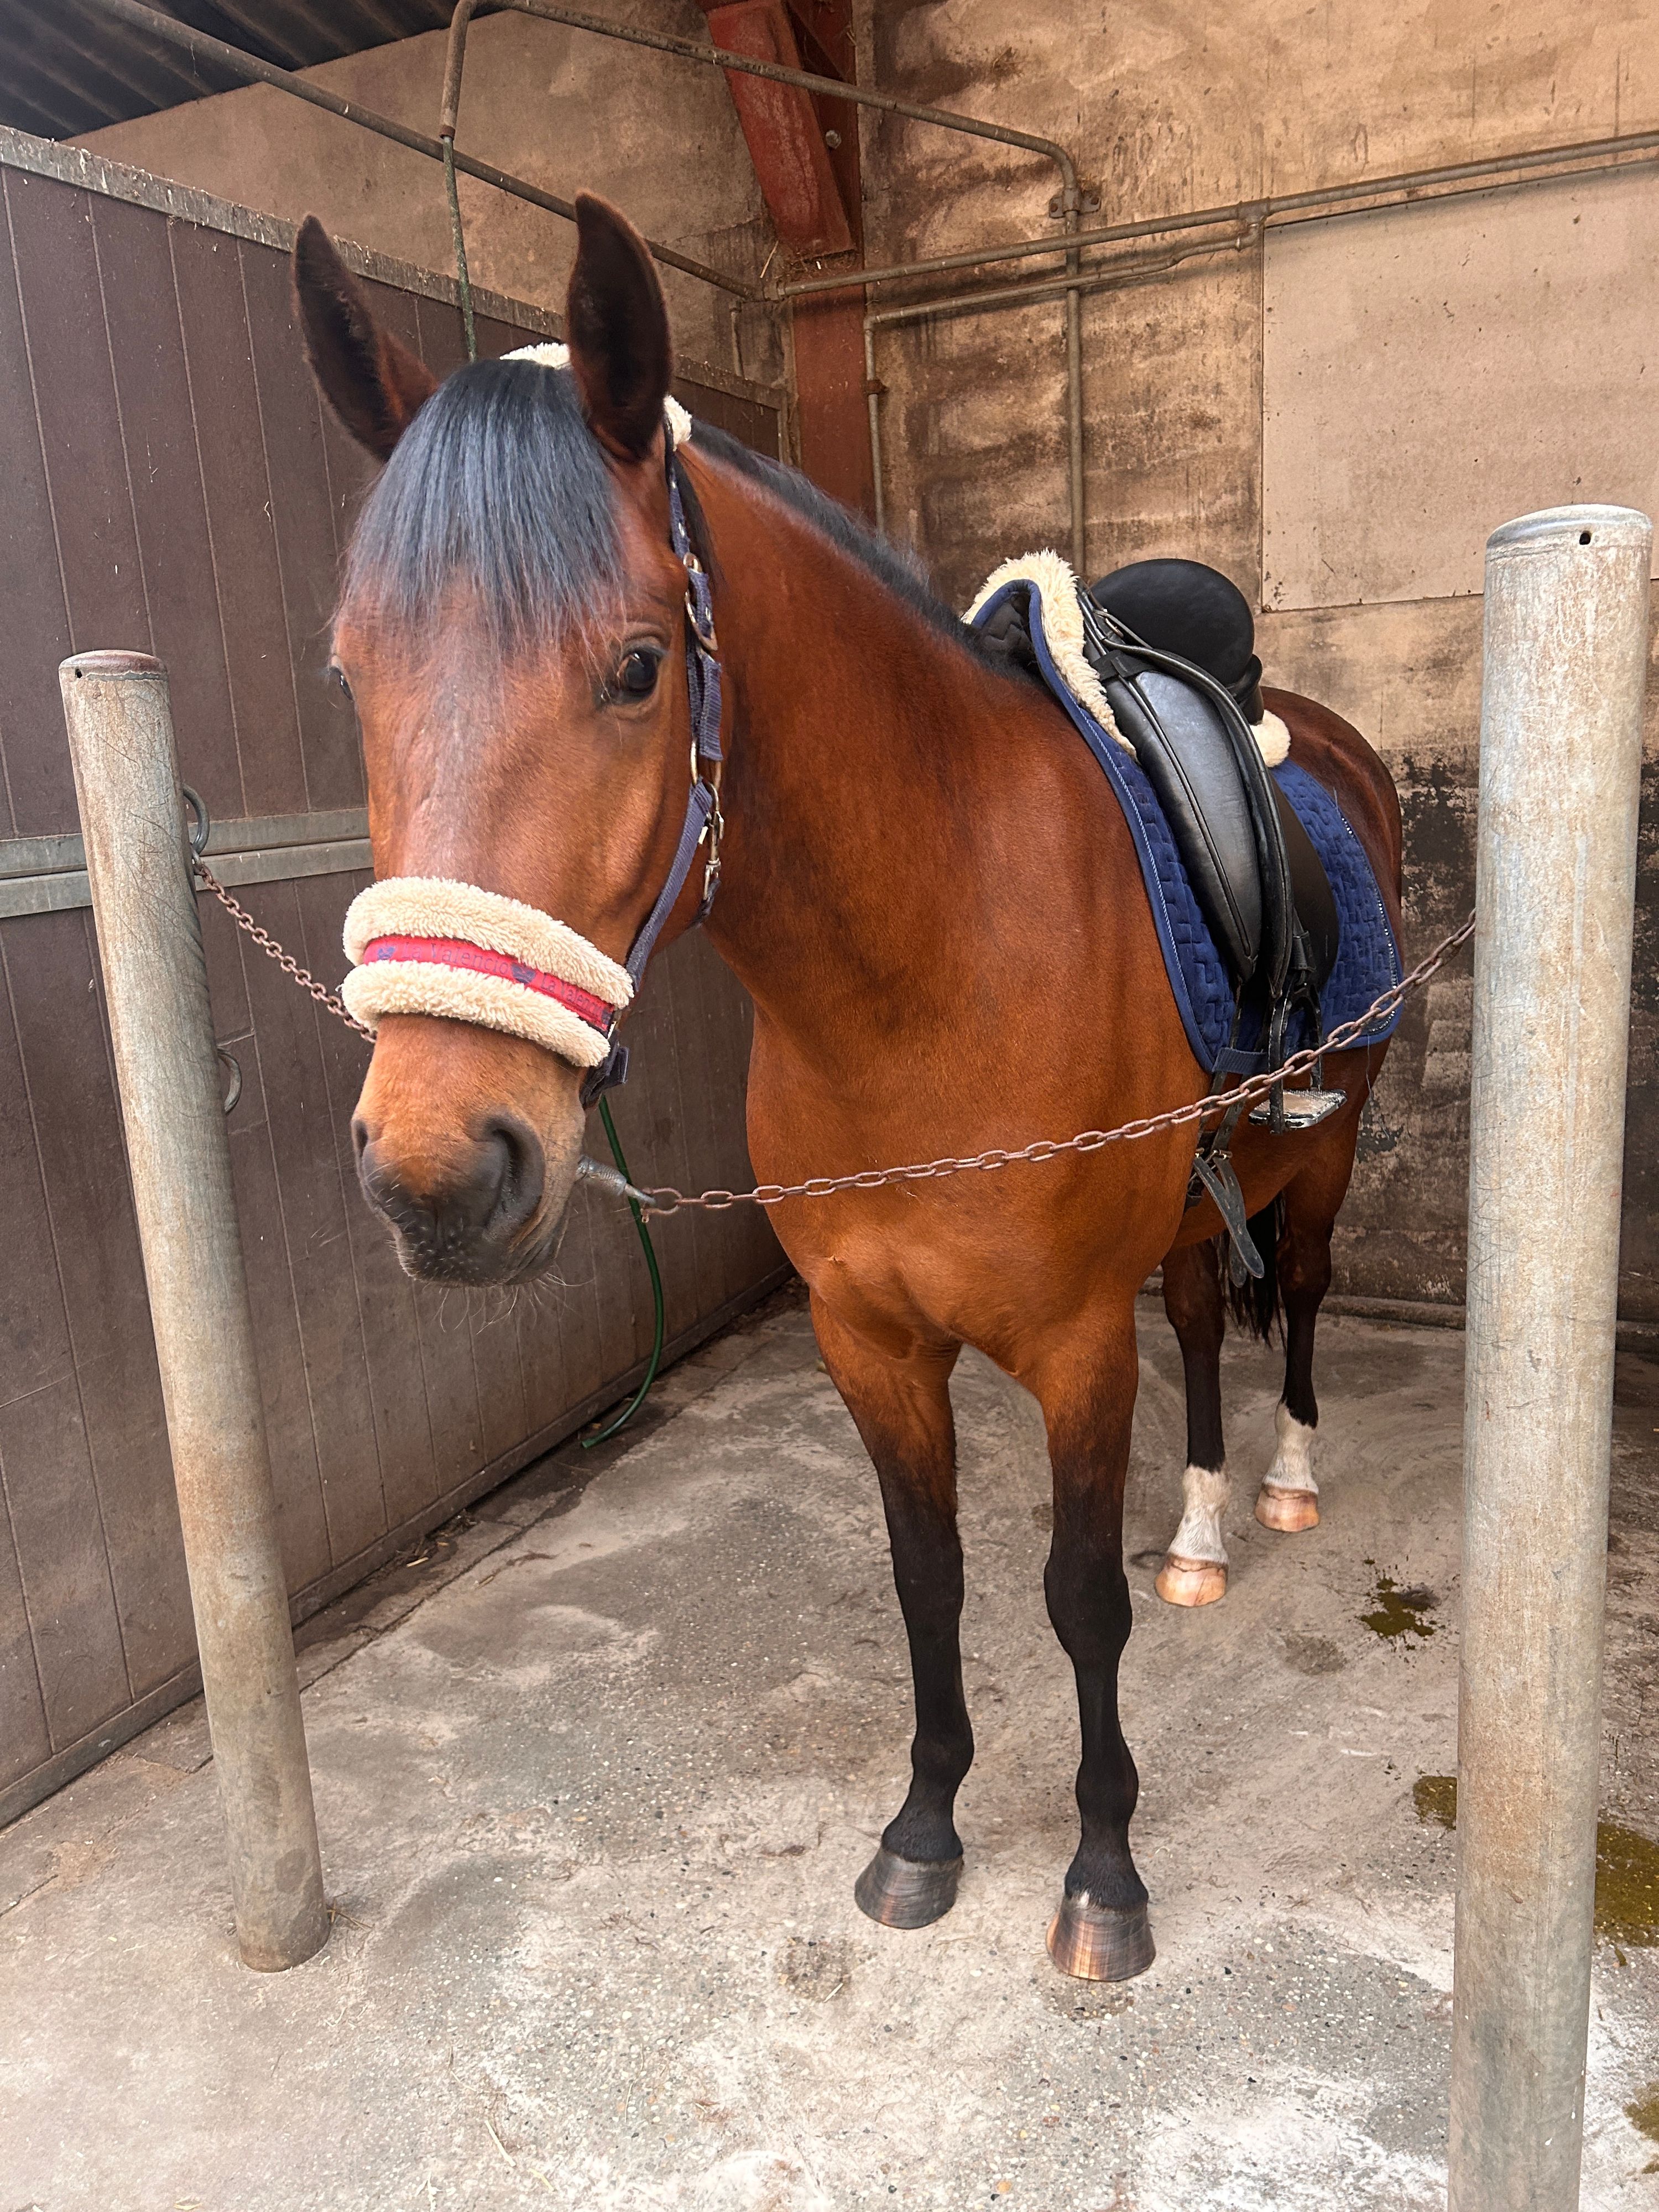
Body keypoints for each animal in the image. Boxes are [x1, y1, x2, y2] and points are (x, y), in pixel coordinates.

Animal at [292, 193, 1403, 1981]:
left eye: (636, 666)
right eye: (349, 677)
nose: (441, 1173)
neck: (925, 973)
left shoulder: (1069, 1345)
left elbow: (1069, 1597)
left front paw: (1102, 1872)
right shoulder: (868, 1340)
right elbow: (925, 1578)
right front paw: (925, 1829)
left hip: (1331, 1137)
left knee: (1291, 1289)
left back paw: (1284, 1486)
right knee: (1196, 1313)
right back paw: (1202, 1530)